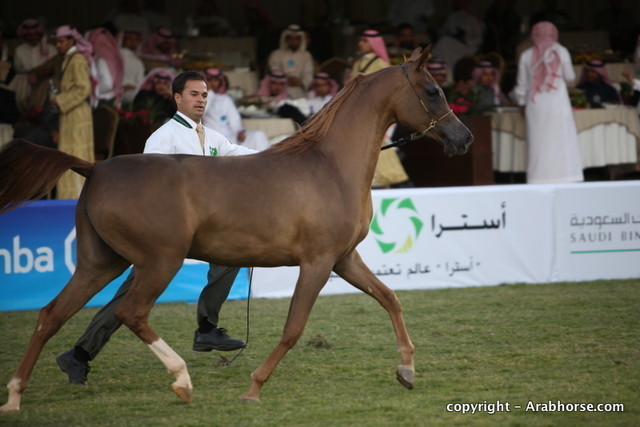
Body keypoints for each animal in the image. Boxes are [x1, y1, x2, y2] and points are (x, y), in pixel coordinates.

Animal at [0, 47, 472, 412]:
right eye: (432, 91)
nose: (464, 138)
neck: (329, 166)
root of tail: (94, 167)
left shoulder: (344, 259)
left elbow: (391, 299)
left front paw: (406, 370)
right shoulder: (317, 263)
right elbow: (293, 328)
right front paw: (253, 388)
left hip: (101, 263)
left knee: (51, 315)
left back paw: (17, 396)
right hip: (159, 262)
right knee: (128, 312)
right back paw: (181, 380)